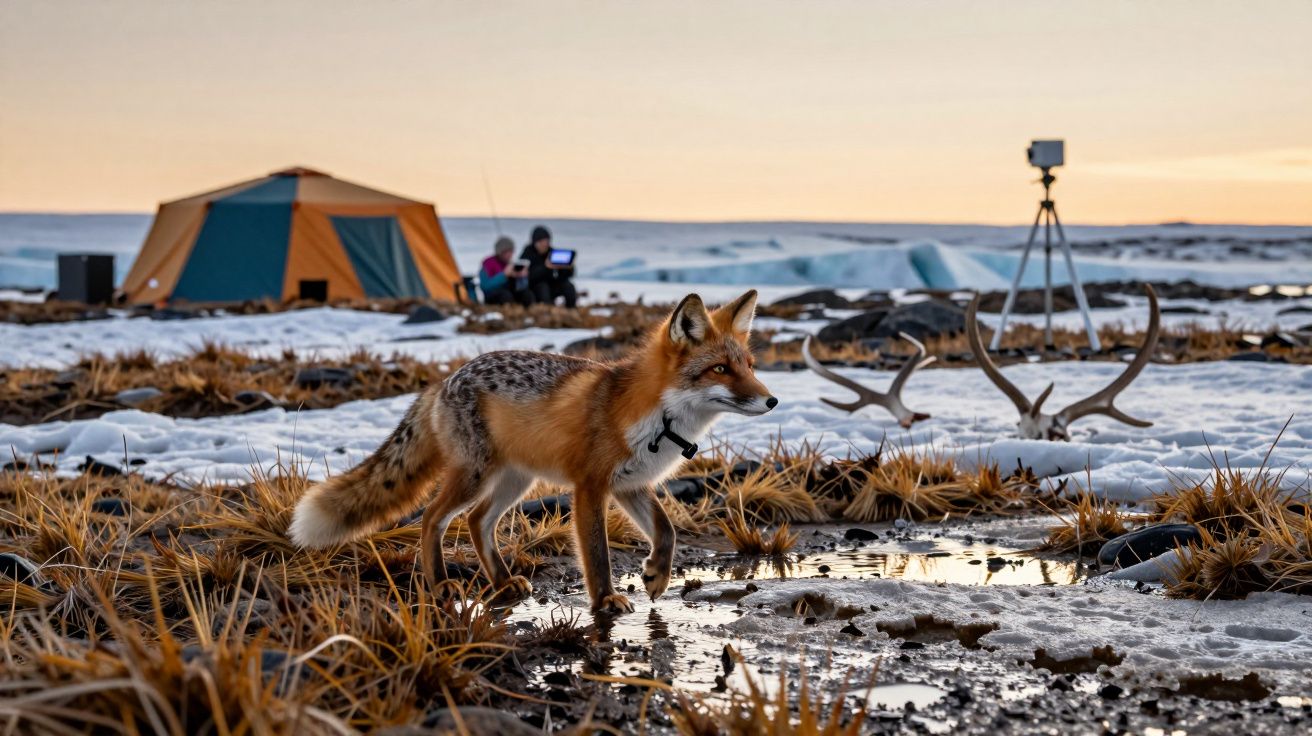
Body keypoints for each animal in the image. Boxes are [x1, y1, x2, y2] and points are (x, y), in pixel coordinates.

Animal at [288, 290, 777, 613]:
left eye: (750, 366)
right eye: (720, 369)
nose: (772, 400)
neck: (659, 420)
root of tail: (443, 381)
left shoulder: (631, 484)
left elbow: (667, 531)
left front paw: (657, 574)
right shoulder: (590, 486)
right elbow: (597, 553)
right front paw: (606, 599)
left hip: (515, 481)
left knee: (476, 522)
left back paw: (503, 583)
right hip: (476, 477)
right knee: (432, 518)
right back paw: (441, 585)